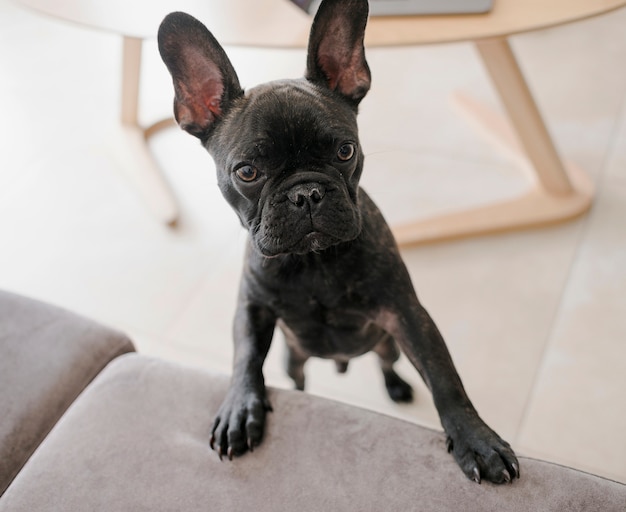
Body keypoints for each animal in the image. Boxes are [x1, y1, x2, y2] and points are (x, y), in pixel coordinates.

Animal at [156, 0, 516, 484]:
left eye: (345, 151)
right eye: (247, 172)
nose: (306, 193)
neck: (313, 263)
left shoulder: (405, 313)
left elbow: (443, 375)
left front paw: (476, 439)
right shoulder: (254, 309)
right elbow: (245, 357)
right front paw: (239, 409)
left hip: (386, 342)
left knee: (387, 363)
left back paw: (397, 386)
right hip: (293, 356)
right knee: (297, 374)